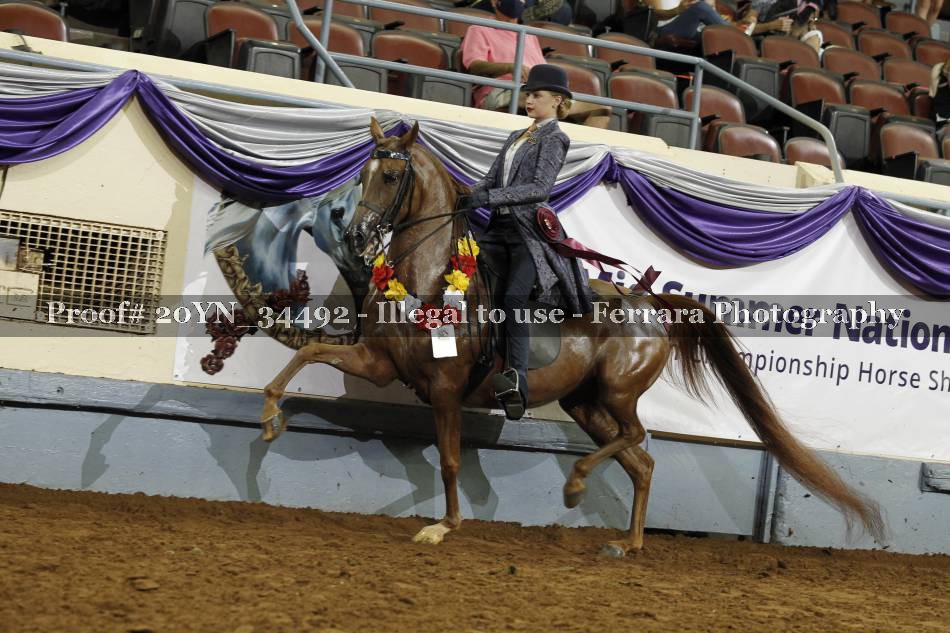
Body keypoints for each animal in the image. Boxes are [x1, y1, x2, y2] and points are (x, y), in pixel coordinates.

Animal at [259, 117, 885, 555]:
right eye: (361, 173)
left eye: (390, 175)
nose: (358, 235)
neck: (428, 278)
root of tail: (650, 305)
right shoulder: (381, 363)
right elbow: (310, 354)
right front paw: (269, 418)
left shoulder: (445, 389)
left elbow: (451, 460)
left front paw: (445, 526)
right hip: (584, 403)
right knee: (641, 461)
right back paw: (628, 543)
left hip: (617, 392)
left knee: (635, 437)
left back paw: (578, 488)